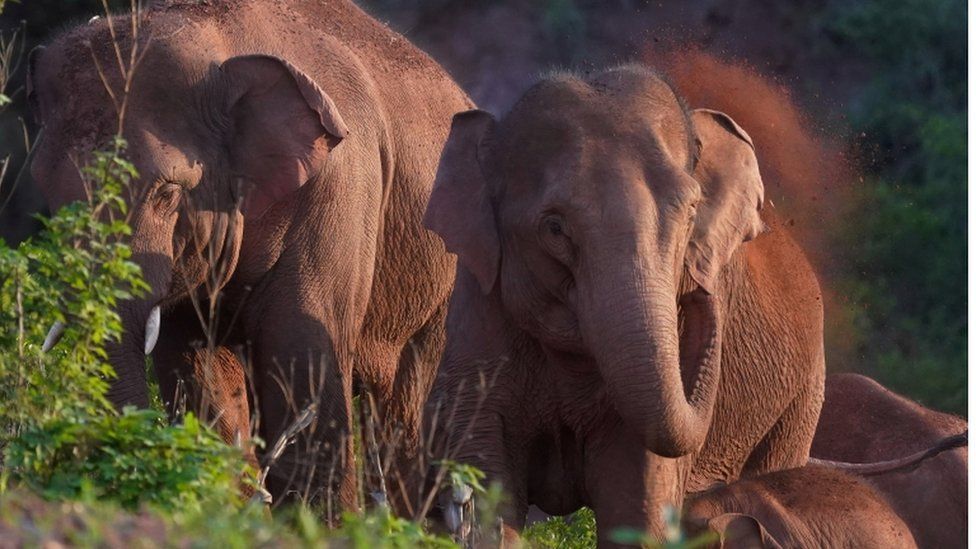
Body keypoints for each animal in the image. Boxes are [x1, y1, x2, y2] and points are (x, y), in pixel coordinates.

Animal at [28, 0, 470, 512]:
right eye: (47, 191)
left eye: (165, 193)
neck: (216, 39)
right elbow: (197, 370)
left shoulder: (337, 192)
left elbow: (301, 357)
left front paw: (323, 522)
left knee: (411, 408)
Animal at [426, 65, 824, 544]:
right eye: (554, 228)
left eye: (691, 213)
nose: (701, 288)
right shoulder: (478, 315)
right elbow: (487, 485)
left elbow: (638, 498)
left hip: (801, 400)